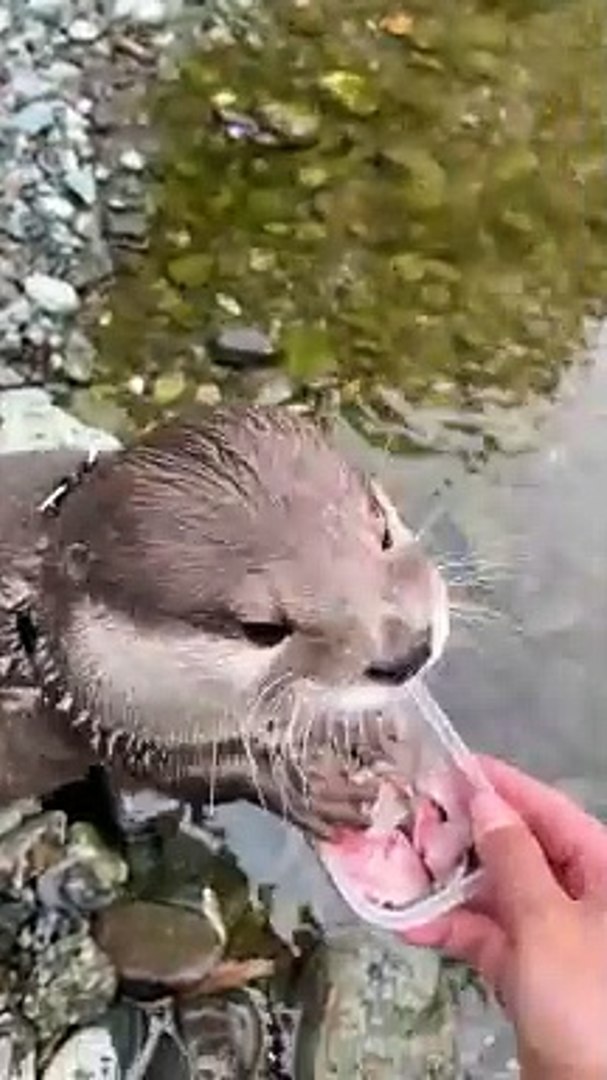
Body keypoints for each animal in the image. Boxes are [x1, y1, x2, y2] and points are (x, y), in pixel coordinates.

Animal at [0, 406, 448, 835]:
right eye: (263, 629)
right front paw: (306, 789)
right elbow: (195, 776)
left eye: (383, 530)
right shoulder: (104, 729)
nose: (409, 653)